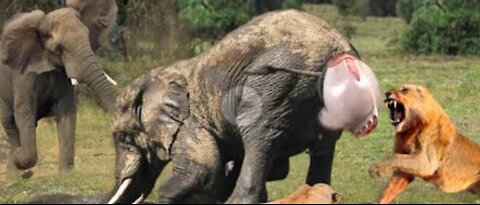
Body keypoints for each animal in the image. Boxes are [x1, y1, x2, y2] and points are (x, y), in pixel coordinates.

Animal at [0, 0, 118, 175]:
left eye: (88, 37)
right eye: (60, 48)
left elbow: (67, 113)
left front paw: (66, 174)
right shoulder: (23, 75)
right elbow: (24, 112)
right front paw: (20, 157)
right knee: (10, 123)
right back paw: (17, 174)